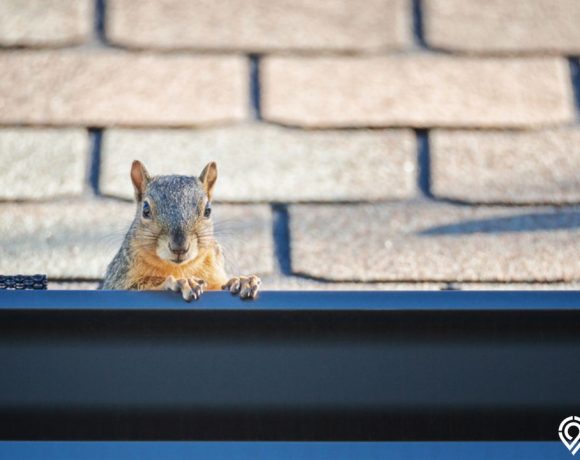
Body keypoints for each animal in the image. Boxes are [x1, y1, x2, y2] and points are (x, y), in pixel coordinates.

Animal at [101, 162, 260, 302]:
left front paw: (241, 281)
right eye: (145, 209)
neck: (180, 267)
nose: (179, 248)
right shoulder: (118, 280)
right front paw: (180, 282)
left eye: (208, 210)